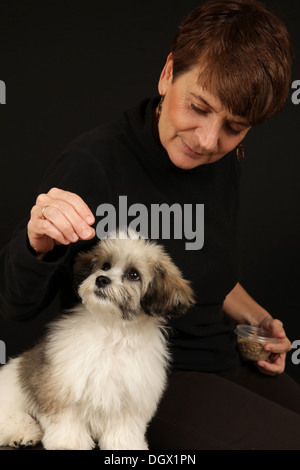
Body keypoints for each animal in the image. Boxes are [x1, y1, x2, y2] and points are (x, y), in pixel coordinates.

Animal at [0, 229, 195, 450]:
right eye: (105, 266)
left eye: (133, 274)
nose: (102, 279)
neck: (112, 330)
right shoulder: (63, 389)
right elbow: (67, 420)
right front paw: (68, 443)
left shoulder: (130, 399)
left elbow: (124, 428)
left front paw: (126, 445)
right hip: (11, 394)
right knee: (10, 417)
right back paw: (23, 433)